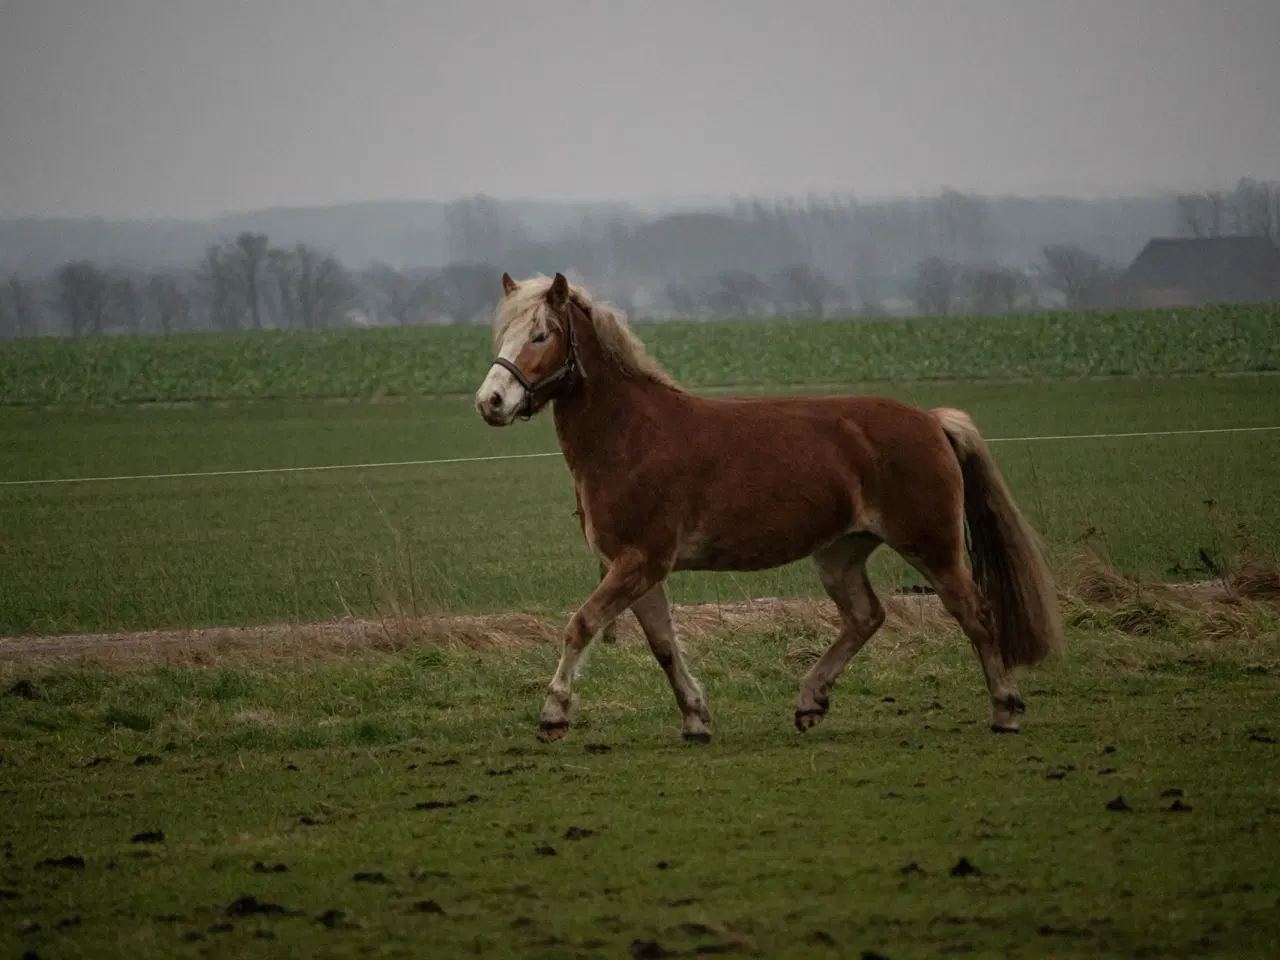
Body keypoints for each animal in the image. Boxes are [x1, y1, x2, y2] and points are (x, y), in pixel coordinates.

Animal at [476, 271, 1064, 742]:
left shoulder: (639, 561)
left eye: (541, 334)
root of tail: (930, 420)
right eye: (502, 334)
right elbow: (663, 644)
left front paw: (553, 714)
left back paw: (1005, 711)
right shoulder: (637, 567)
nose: (490, 402)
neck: (631, 435)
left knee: (976, 613)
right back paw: (810, 701)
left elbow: (581, 625)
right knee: (866, 615)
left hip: (932, 547)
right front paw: (695, 719)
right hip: (840, 553)